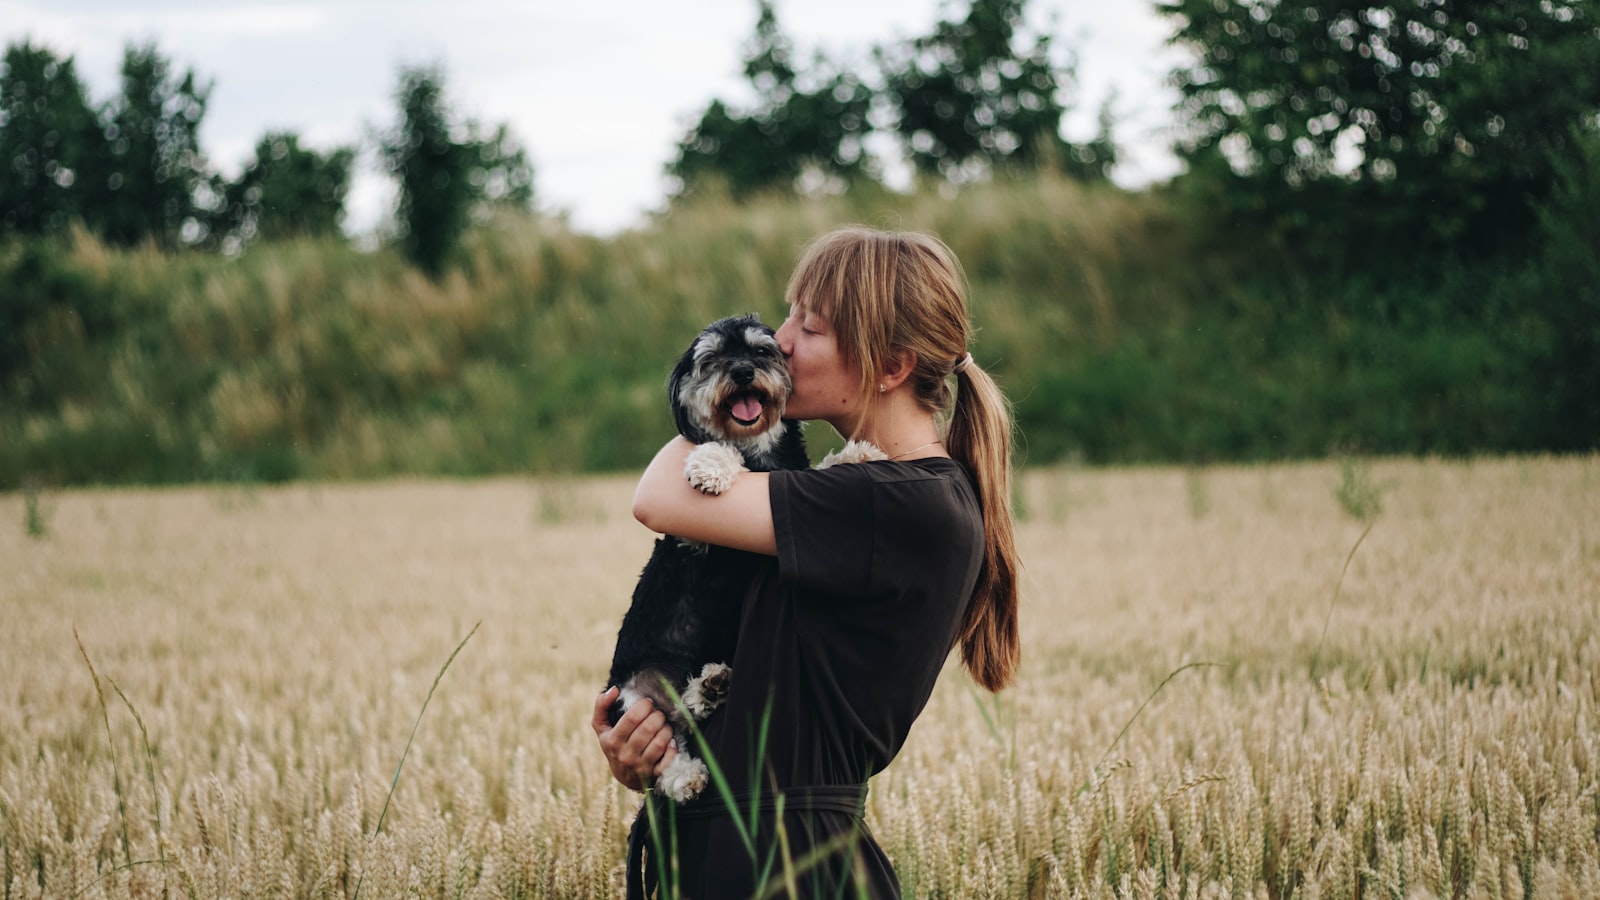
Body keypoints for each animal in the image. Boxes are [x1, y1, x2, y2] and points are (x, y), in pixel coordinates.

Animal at [601, 313, 883, 797]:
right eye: (713, 359)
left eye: (760, 351)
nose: (743, 372)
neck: (761, 456)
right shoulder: (689, 541)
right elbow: (721, 447)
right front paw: (710, 466)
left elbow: (818, 470)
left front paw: (858, 453)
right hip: (633, 697)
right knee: (670, 750)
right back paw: (689, 768)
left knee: (689, 716)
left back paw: (709, 689)